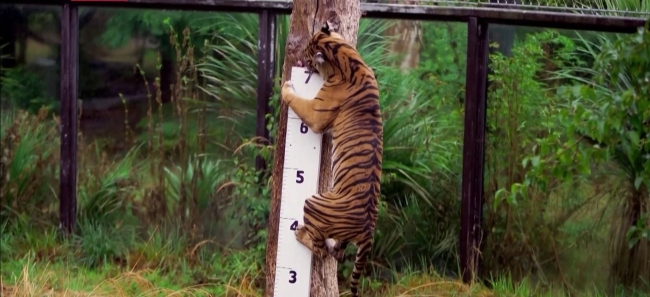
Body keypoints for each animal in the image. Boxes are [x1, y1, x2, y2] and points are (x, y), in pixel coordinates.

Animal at [278, 21, 380, 296]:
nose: (300, 61)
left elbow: (295, 99)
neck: (348, 56)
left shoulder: (315, 113)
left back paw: (299, 233)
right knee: (337, 252)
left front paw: (285, 85)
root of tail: (368, 231)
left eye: (309, 58)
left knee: (320, 248)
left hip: (314, 202)